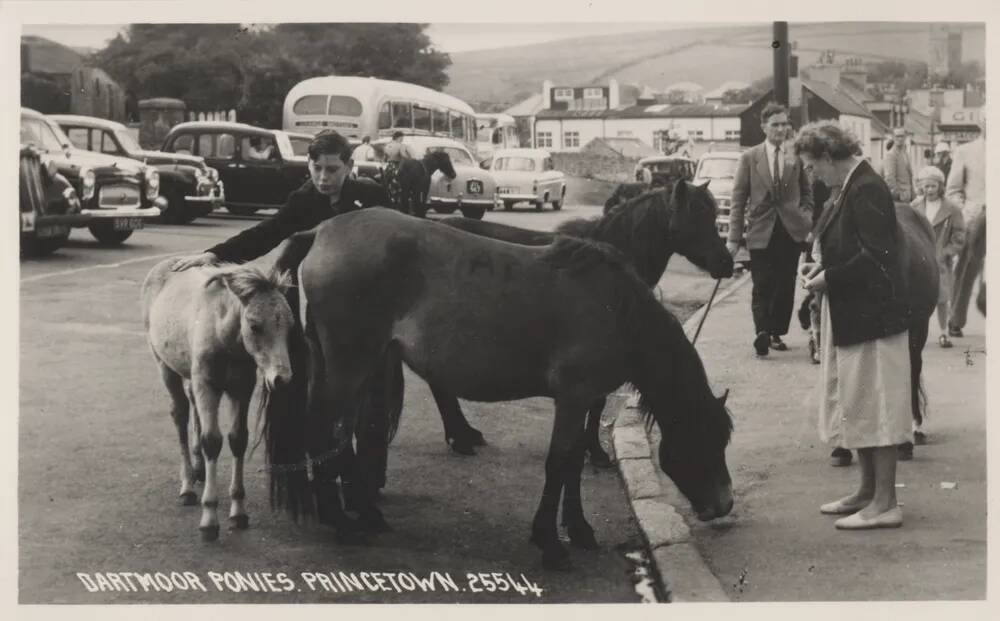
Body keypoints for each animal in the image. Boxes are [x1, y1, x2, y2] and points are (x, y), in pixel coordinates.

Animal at [143, 260, 294, 540]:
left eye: (289, 327)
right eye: (255, 326)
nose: (282, 379)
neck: (224, 335)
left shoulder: (241, 389)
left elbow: (238, 439)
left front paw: (238, 512)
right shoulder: (208, 385)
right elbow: (212, 440)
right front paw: (209, 520)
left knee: (193, 407)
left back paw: (199, 469)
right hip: (165, 366)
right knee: (180, 414)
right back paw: (188, 486)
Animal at [266, 207, 736, 568]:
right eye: (707, 439)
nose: (725, 504)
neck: (616, 306)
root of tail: (320, 231)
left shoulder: (583, 400)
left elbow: (573, 464)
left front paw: (578, 528)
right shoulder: (573, 398)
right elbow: (560, 464)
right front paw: (550, 542)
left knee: (343, 433)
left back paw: (363, 511)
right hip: (350, 366)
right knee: (323, 431)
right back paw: (342, 521)